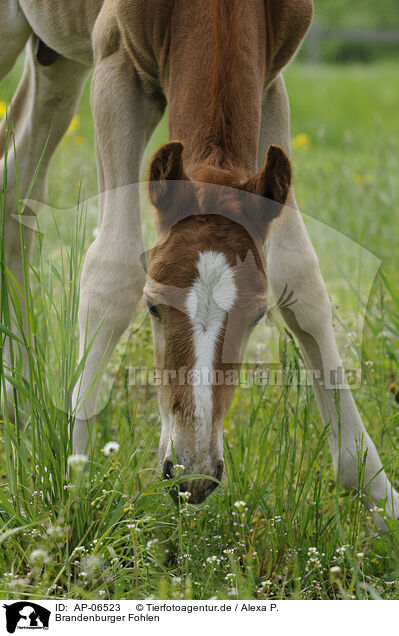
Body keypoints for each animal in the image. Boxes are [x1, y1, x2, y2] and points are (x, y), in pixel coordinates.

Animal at [0, 0, 398, 516]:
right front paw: (75, 481)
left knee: (16, 188)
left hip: (55, 58)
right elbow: (112, 269)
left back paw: (18, 401)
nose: (193, 476)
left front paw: (377, 492)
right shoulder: (115, 66)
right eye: (152, 306)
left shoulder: (271, 84)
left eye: (258, 316)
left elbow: (302, 278)